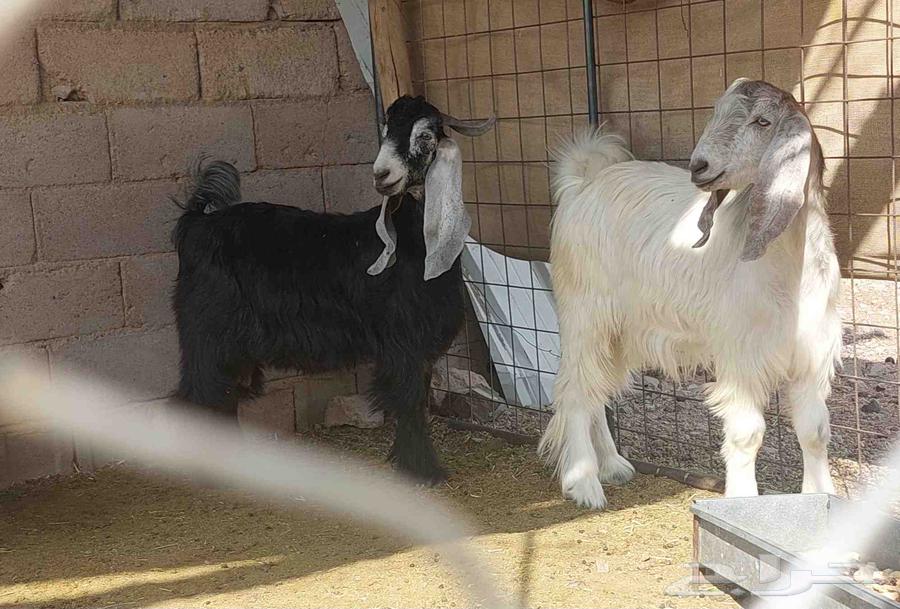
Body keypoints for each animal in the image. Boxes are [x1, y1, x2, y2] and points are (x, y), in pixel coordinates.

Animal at [172, 96, 494, 484]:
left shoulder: (420, 351)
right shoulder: (403, 343)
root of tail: (196, 223)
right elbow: (409, 402)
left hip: (229, 341)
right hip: (205, 330)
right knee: (201, 392)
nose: (382, 175)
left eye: (426, 135)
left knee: (224, 391)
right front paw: (423, 471)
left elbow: (415, 402)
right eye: (386, 131)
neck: (414, 244)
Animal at [539, 79, 841, 509]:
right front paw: (742, 501)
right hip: (585, 312)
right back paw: (584, 483)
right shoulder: (742, 354)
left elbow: (815, 432)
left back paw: (612, 464)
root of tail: (582, 186)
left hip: (620, 331)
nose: (699, 166)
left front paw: (822, 496)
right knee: (575, 389)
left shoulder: (812, 353)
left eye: (762, 121)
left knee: (597, 387)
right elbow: (747, 434)